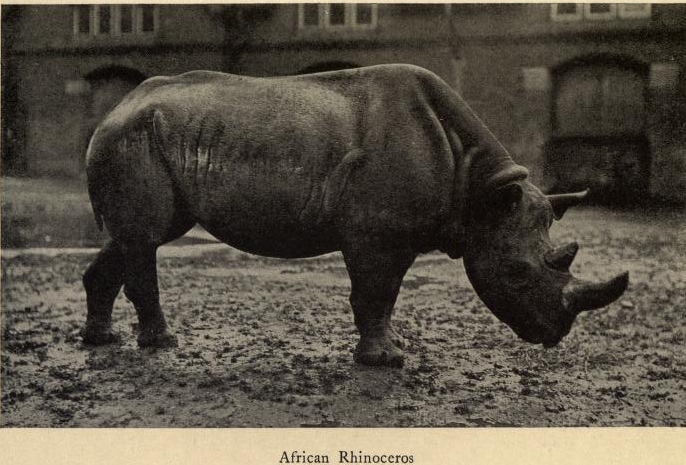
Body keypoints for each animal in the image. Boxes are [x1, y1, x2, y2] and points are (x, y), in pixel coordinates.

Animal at [82, 64, 629, 368]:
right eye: (516, 273)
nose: (554, 335)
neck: (480, 192)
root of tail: (114, 108)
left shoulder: (395, 233)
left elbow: (384, 298)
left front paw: (391, 349)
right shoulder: (379, 233)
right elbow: (376, 293)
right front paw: (384, 362)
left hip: (155, 134)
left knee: (136, 237)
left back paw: (101, 340)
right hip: (133, 136)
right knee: (146, 238)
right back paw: (162, 345)